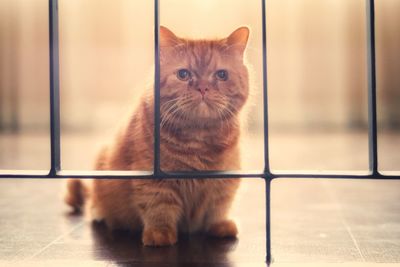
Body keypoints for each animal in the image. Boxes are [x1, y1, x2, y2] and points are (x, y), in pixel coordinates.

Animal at [64, 26, 248, 248]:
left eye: (221, 75)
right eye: (183, 74)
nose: (203, 88)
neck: (198, 139)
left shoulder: (224, 181)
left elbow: (217, 207)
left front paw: (219, 226)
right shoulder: (154, 180)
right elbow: (160, 208)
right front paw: (160, 235)